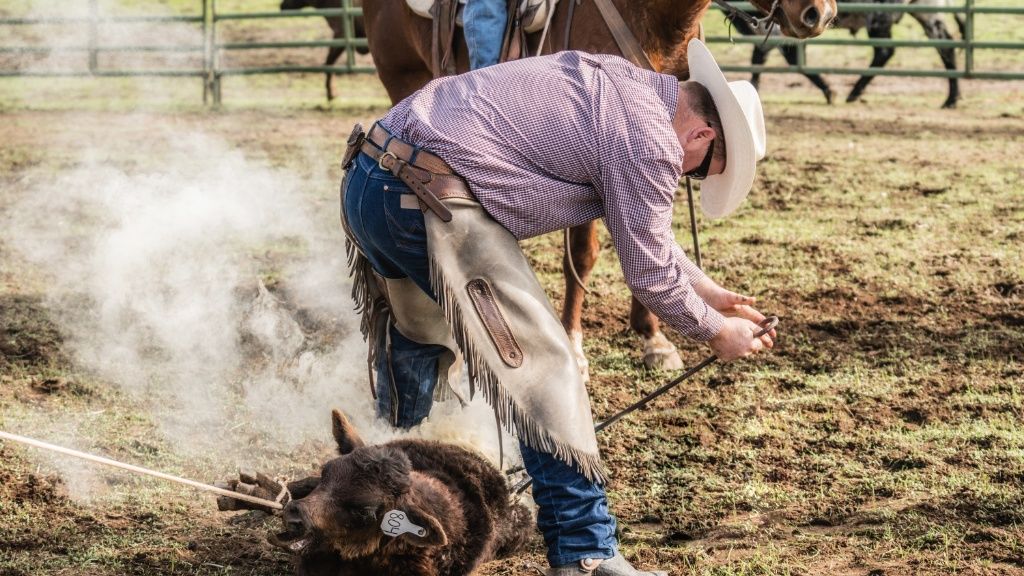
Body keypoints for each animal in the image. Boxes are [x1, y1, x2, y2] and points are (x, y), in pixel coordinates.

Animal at [733, 0, 962, 107]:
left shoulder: (776, 30)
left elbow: (765, 57)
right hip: (927, 12)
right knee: (946, 46)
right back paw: (952, 98)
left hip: (879, 18)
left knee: (884, 51)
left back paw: (854, 92)